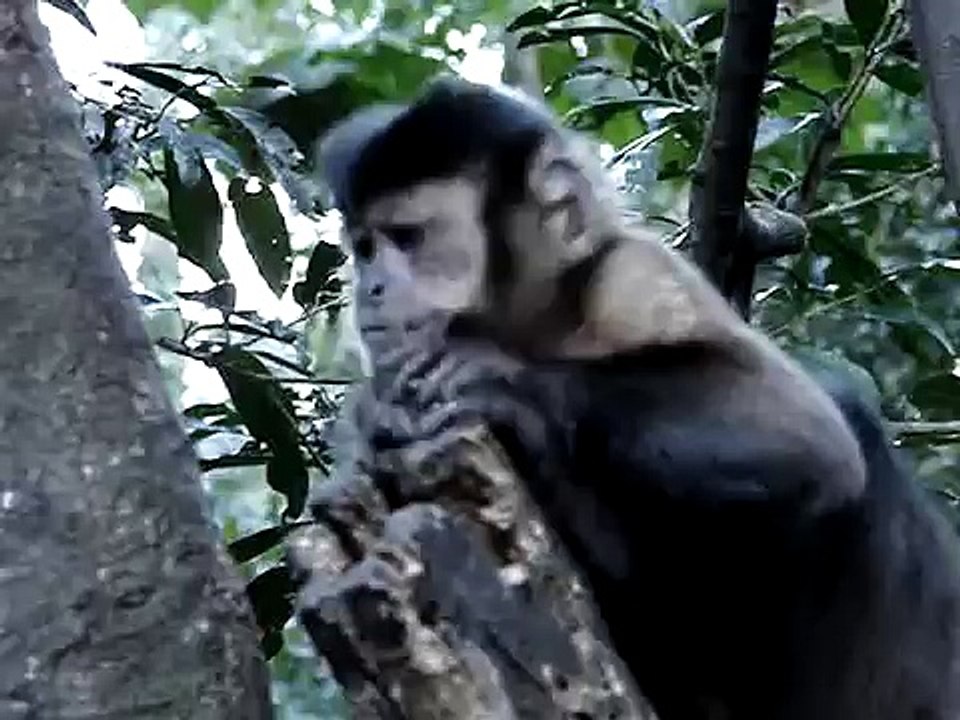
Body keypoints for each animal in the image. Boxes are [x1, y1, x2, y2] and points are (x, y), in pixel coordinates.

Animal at [315, 76, 960, 719]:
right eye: (365, 248)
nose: (369, 289)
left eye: (409, 238)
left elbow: (811, 437)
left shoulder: (633, 275)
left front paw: (504, 384)